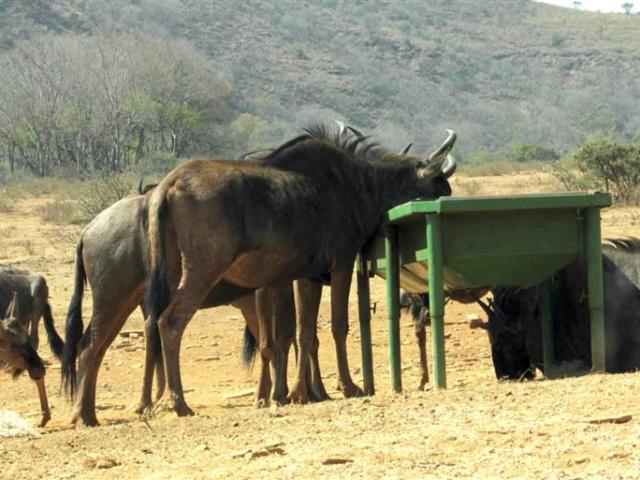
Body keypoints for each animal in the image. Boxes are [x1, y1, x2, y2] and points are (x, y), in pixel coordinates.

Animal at [144, 124, 457, 416]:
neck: (358, 185)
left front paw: (293, 393)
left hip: (171, 273)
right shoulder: (342, 264)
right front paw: (347, 386)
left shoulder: (306, 276)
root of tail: (171, 182)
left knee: (157, 322)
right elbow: (338, 325)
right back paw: (178, 402)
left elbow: (302, 332)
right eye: (440, 184)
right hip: (203, 271)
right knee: (171, 322)